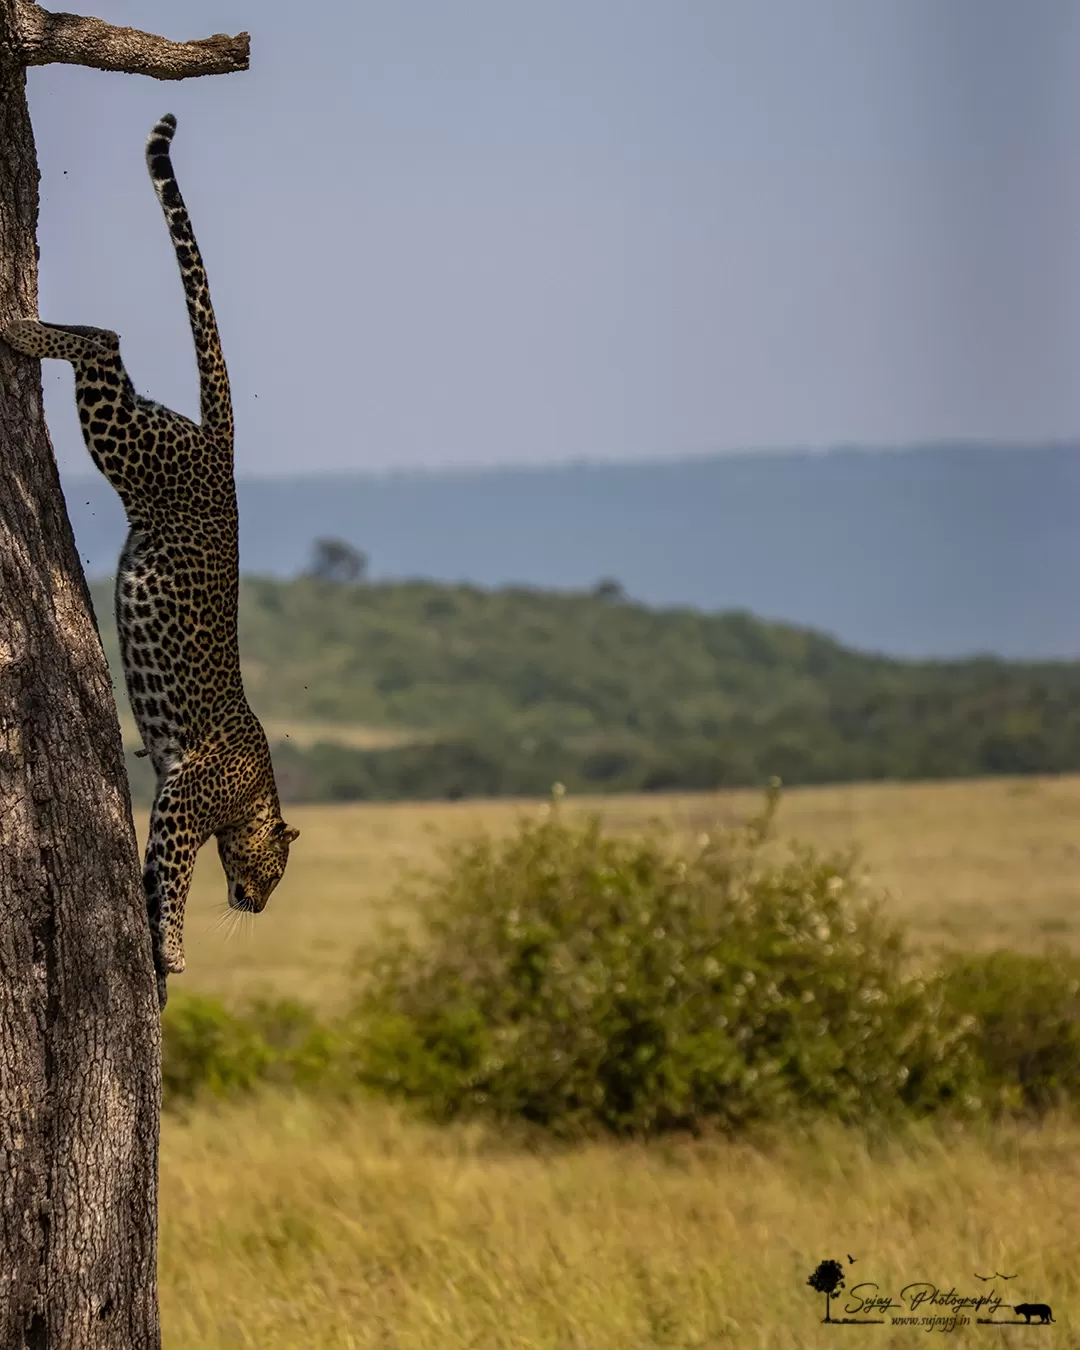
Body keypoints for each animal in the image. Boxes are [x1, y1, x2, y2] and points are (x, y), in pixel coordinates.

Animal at [5, 110, 299, 1009]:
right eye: (277, 874)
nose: (259, 906)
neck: (253, 795)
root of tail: (222, 450)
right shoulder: (181, 804)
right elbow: (171, 880)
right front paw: (170, 950)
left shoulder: (173, 800)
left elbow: (151, 880)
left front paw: (162, 965)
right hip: (133, 444)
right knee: (104, 338)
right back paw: (14, 326)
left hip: (139, 427)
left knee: (109, 347)